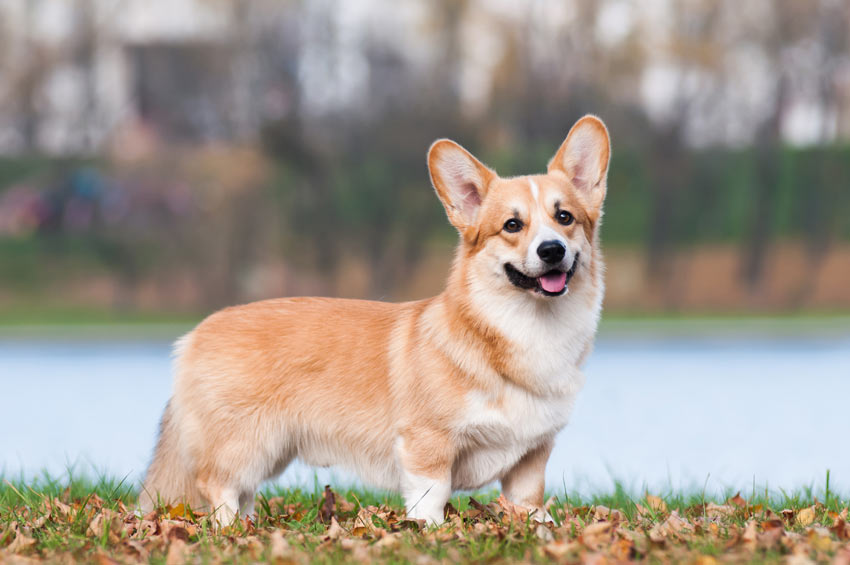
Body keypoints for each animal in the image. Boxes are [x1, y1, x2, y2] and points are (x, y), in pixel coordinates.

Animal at [141, 114, 608, 524]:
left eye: (564, 218)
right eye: (512, 225)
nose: (552, 250)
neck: (526, 329)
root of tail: (193, 335)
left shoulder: (531, 458)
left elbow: (529, 504)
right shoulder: (426, 444)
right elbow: (431, 496)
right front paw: (428, 532)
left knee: (244, 491)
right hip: (248, 444)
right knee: (217, 483)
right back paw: (229, 529)